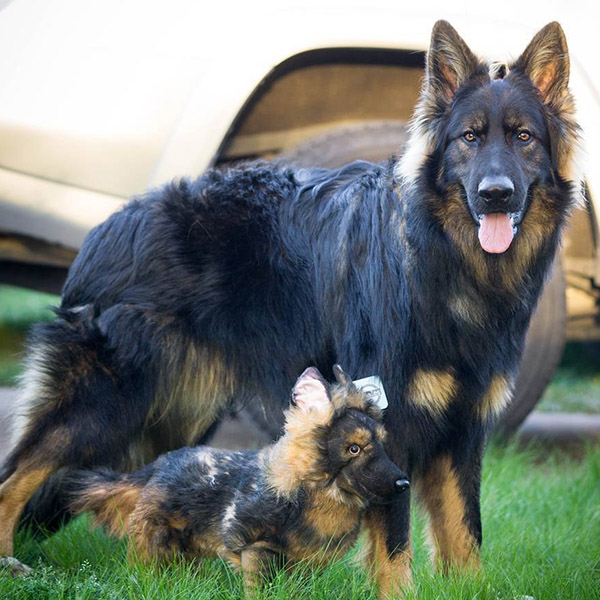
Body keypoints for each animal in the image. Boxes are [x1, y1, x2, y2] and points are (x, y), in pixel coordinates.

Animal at [68, 366, 410, 592]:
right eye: (354, 448)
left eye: (382, 444)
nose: (404, 484)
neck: (312, 498)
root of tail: (158, 465)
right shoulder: (257, 549)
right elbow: (259, 590)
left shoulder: (305, 567)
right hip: (152, 547)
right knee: (145, 573)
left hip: (186, 552)